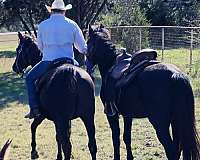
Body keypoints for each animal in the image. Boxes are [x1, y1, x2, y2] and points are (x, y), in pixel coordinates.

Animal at [12, 32, 97, 160]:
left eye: (18, 50)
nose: (14, 67)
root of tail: (71, 73)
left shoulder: (44, 115)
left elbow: (34, 127)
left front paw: (34, 151)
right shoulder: (63, 120)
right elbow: (60, 136)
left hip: (64, 119)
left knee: (67, 146)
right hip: (88, 116)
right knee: (92, 145)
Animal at [87, 25, 200, 160]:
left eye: (88, 42)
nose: (87, 63)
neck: (110, 65)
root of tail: (176, 75)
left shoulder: (112, 115)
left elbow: (116, 138)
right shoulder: (128, 115)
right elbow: (126, 137)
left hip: (160, 123)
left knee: (171, 150)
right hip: (176, 120)